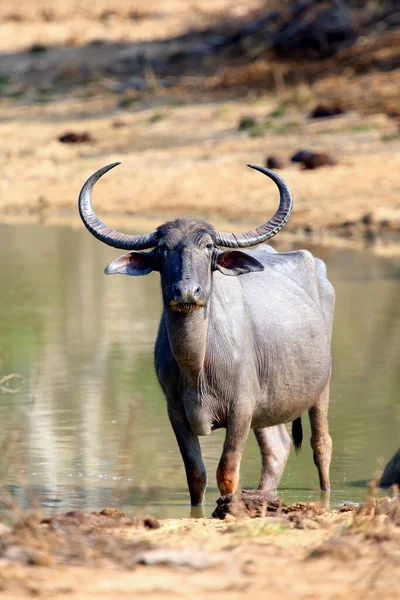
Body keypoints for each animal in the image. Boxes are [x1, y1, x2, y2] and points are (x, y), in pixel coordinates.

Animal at [78, 163, 334, 506]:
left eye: (209, 247)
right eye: (163, 249)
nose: (186, 291)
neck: (197, 366)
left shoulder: (240, 409)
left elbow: (227, 470)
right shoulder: (176, 411)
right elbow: (195, 474)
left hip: (321, 389)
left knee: (322, 445)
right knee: (276, 448)